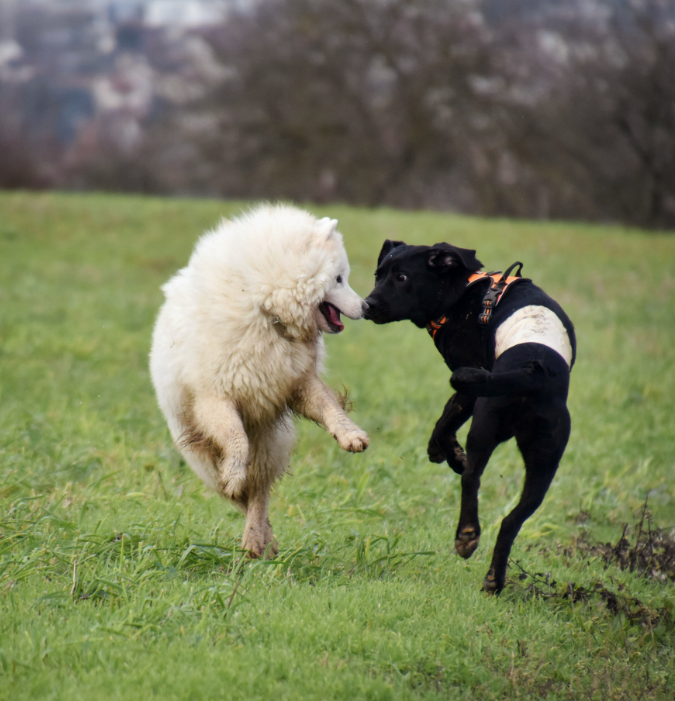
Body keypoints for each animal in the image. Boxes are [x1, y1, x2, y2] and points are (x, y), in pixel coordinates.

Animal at [150, 204, 370, 556]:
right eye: (339, 278)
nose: (366, 307)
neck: (264, 310)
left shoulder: (296, 383)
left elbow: (331, 408)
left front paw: (350, 436)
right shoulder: (215, 399)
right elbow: (235, 438)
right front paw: (235, 473)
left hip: (270, 447)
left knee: (258, 496)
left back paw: (258, 539)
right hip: (203, 458)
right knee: (239, 494)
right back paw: (256, 532)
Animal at [364, 241, 576, 592]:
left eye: (402, 277)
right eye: (377, 275)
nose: (366, 305)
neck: (461, 292)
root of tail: (533, 370)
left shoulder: (470, 380)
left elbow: (445, 421)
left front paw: (448, 454)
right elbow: (445, 419)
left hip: (485, 424)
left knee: (471, 480)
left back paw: (466, 535)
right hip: (545, 460)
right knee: (511, 520)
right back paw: (493, 579)